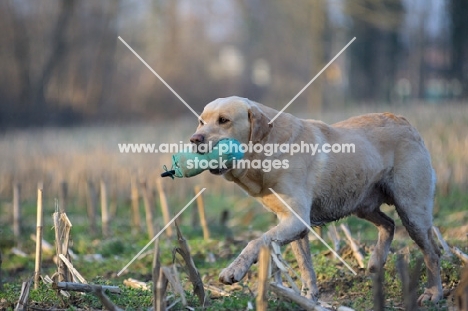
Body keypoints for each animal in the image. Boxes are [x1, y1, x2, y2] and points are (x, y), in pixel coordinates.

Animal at [190, 97, 442, 304]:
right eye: (201, 122)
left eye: (224, 120)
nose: (194, 139)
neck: (267, 149)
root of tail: (405, 122)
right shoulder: (293, 223)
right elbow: (305, 264)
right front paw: (308, 297)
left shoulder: (296, 219)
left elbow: (257, 241)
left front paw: (234, 270)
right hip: (361, 203)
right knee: (389, 224)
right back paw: (375, 262)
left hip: (412, 211)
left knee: (432, 252)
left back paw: (433, 293)